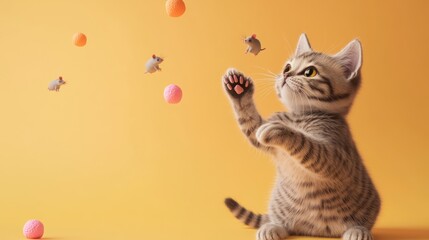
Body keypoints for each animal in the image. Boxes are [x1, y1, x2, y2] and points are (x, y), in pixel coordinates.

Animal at [222, 33, 380, 240]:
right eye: (288, 67)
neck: (299, 116)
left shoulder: (336, 156)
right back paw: (274, 226)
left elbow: (307, 143)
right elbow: (249, 121)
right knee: (285, 225)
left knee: (358, 224)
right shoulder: (259, 135)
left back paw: (357, 230)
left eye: (309, 72)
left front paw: (281, 130)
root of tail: (316, 230)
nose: (286, 74)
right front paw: (238, 88)